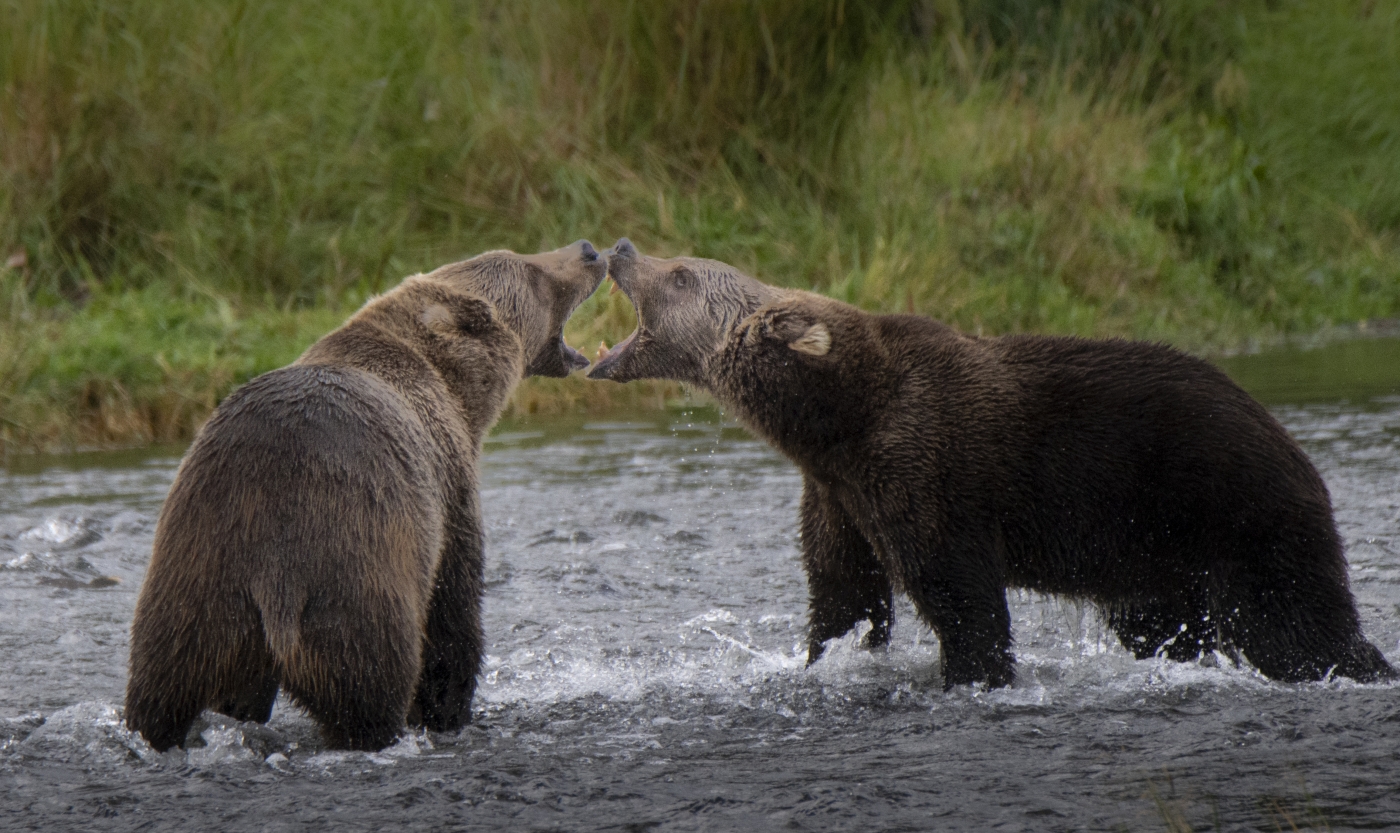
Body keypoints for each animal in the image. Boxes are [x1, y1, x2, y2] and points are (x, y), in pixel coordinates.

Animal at [130, 239, 607, 750]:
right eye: (533, 272)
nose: (588, 250)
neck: (455, 387)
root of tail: (271, 577)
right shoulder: (446, 486)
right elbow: (452, 612)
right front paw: (448, 711)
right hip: (354, 569)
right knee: (370, 684)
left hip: (197, 583)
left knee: (161, 690)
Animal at [588, 239, 1388, 691]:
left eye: (683, 273)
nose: (620, 248)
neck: (833, 421)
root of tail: (1291, 440)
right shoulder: (836, 495)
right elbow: (845, 597)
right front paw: (824, 657)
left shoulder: (926, 467)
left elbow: (960, 596)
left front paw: (973, 676)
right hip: (1155, 555)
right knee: (1165, 624)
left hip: (1231, 505)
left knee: (1294, 621)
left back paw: (1355, 668)